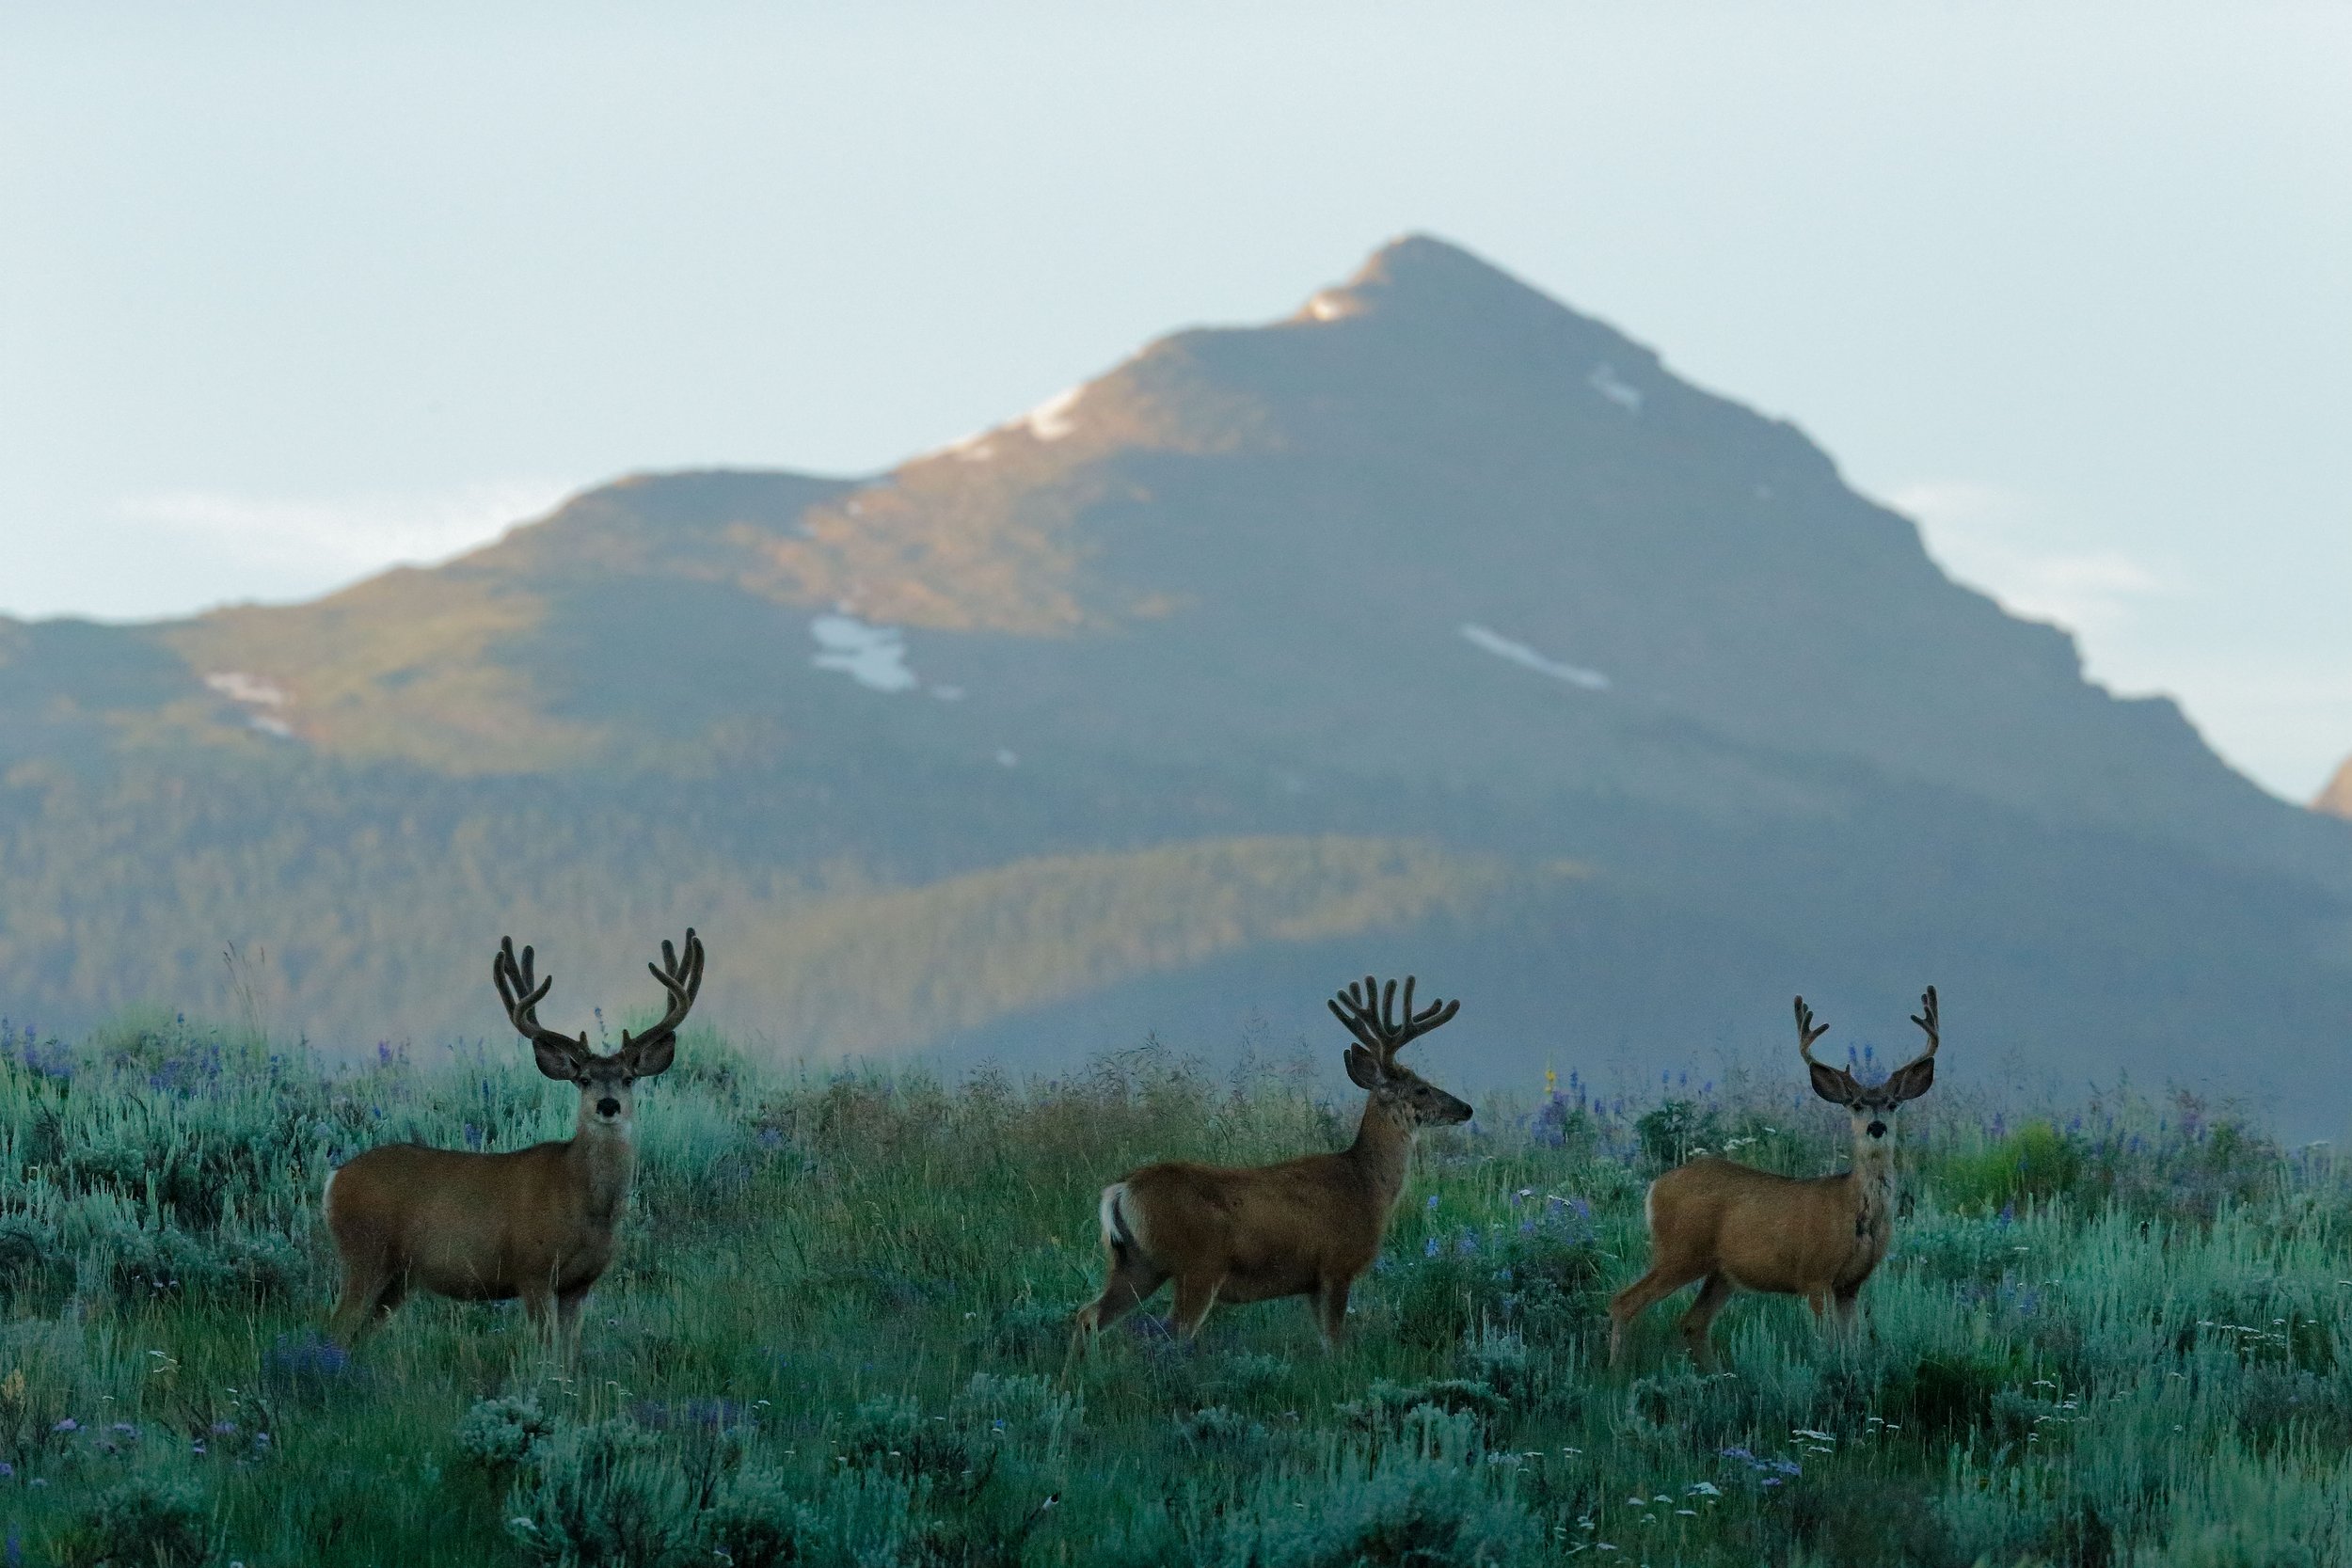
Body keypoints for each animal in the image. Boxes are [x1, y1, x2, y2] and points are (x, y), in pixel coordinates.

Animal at [321, 930, 704, 1360]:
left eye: (628, 1078)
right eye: (584, 1079)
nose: (608, 1105)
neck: (584, 1200)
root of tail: (333, 1180)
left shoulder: (580, 1283)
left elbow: (569, 1356)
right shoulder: (532, 1269)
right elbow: (546, 1352)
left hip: (397, 1278)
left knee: (357, 1336)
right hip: (364, 1253)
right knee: (335, 1329)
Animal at [1071, 974, 1471, 1353]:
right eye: (1421, 1088)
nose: (1465, 1108)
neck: (1366, 1184)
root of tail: (1121, 1188)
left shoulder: (1311, 1283)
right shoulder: (1336, 1266)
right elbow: (1336, 1344)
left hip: (1136, 1262)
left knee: (1088, 1315)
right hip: (1197, 1265)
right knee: (1170, 1334)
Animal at [1608, 986, 1940, 1367]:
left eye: (1892, 1104)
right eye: (1855, 1104)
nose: (1876, 1127)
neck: (1856, 1212)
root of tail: (1655, 1187)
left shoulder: (1851, 1284)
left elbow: (1851, 1346)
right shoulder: (1814, 1273)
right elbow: (1826, 1345)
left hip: (1721, 1271)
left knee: (1692, 1322)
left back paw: (1715, 1374)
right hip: (1680, 1251)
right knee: (1623, 1302)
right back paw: (1616, 1373)